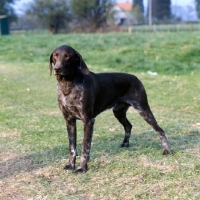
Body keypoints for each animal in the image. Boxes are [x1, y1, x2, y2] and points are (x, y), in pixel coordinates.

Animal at [48, 44, 172, 173]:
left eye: (67, 56)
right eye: (55, 56)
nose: (57, 68)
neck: (68, 85)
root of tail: (136, 78)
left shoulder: (88, 121)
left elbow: (85, 147)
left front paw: (82, 168)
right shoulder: (69, 121)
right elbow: (72, 148)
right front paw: (70, 165)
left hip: (143, 109)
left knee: (160, 130)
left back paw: (167, 150)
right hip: (118, 111)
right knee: (128, 126)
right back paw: (125, 144)